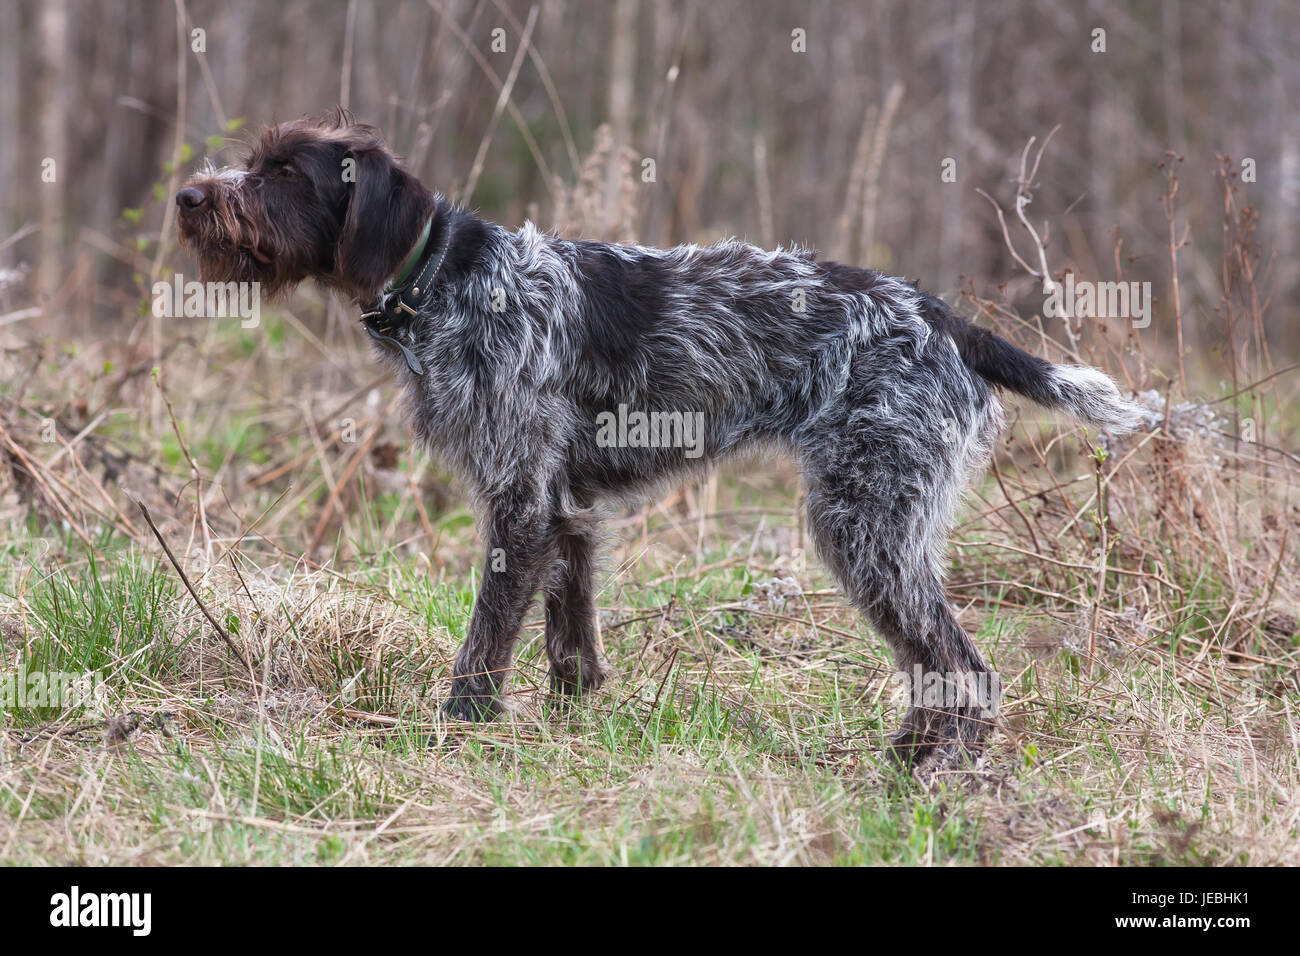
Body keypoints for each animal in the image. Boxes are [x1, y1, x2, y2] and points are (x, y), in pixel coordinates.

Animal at [178, 113, 1144, 770]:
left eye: (284, 172)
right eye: (256, 162)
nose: (187, 196)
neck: (448, 278)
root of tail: (943, 318)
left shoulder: (520, 503)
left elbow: (486, 639)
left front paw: (459, 727)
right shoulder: (563, 510)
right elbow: (570, 643)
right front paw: (568, 727)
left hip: (865, 523)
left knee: (963, 664)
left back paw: (931, 770)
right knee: (940, 661)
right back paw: (912, 752)